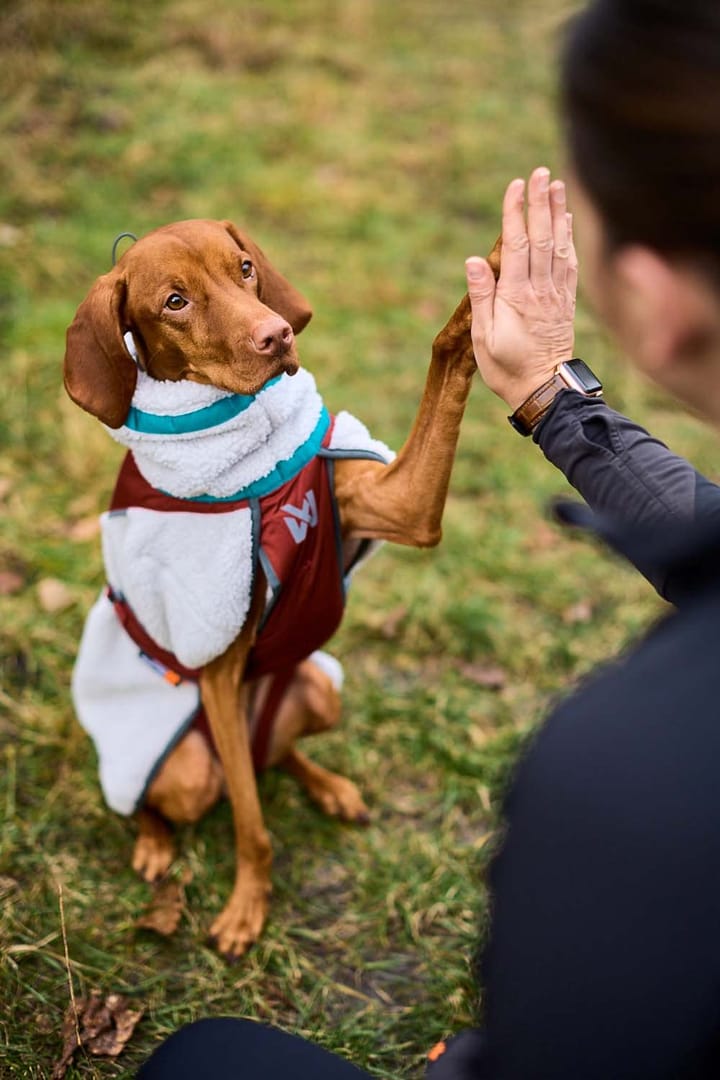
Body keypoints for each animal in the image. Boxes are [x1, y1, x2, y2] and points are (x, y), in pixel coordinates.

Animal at [63, 217, 500, 954]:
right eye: (174, 302)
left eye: (243, 267)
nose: (277, 336)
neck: (254, 465)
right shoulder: (216, 665)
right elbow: (251, 824)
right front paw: (248, 907)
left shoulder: (397, 506)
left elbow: (445, 356)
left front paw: (499, 273)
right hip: (181, 764)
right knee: (171, 792)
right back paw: (154, 841)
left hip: (318, 689)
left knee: (279, 756)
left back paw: (326, 785)